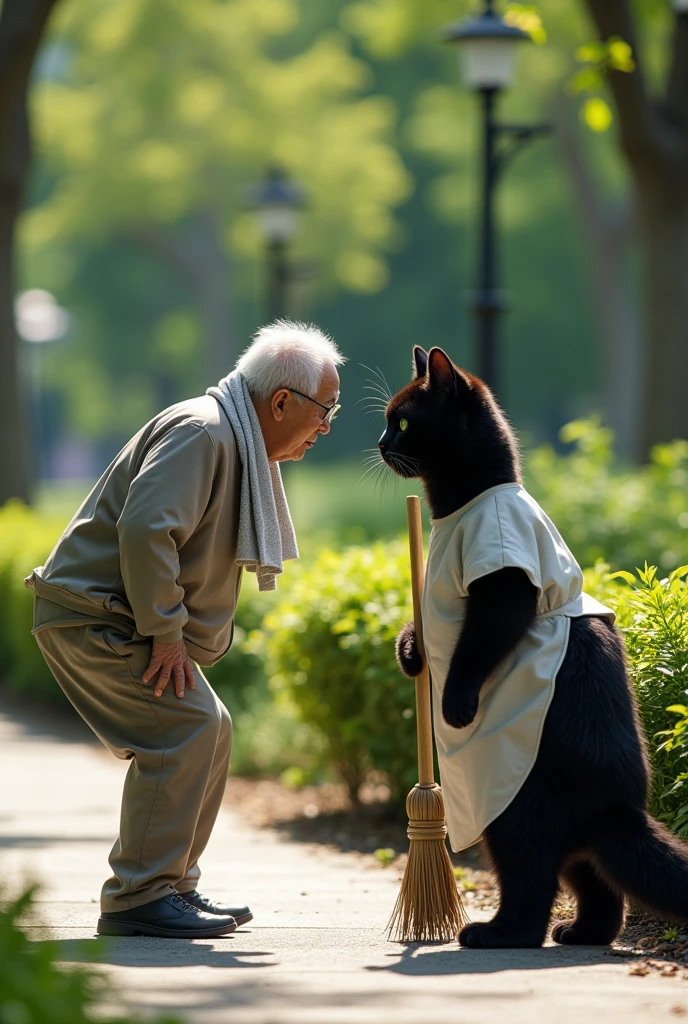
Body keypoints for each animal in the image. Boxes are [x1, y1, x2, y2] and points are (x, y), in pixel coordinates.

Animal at [378, 346, 688, 950]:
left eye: (402, 422)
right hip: (570, 842)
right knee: (599, 886)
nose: (380, 442)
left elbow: (482, 640)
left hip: (514, 812)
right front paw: (410, 651)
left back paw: (493, 933)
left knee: (531, 885)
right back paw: (582, 932)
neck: (461, 506)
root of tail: (614, 810)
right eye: (386, 421)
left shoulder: (503, 586)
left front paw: (453, 702)